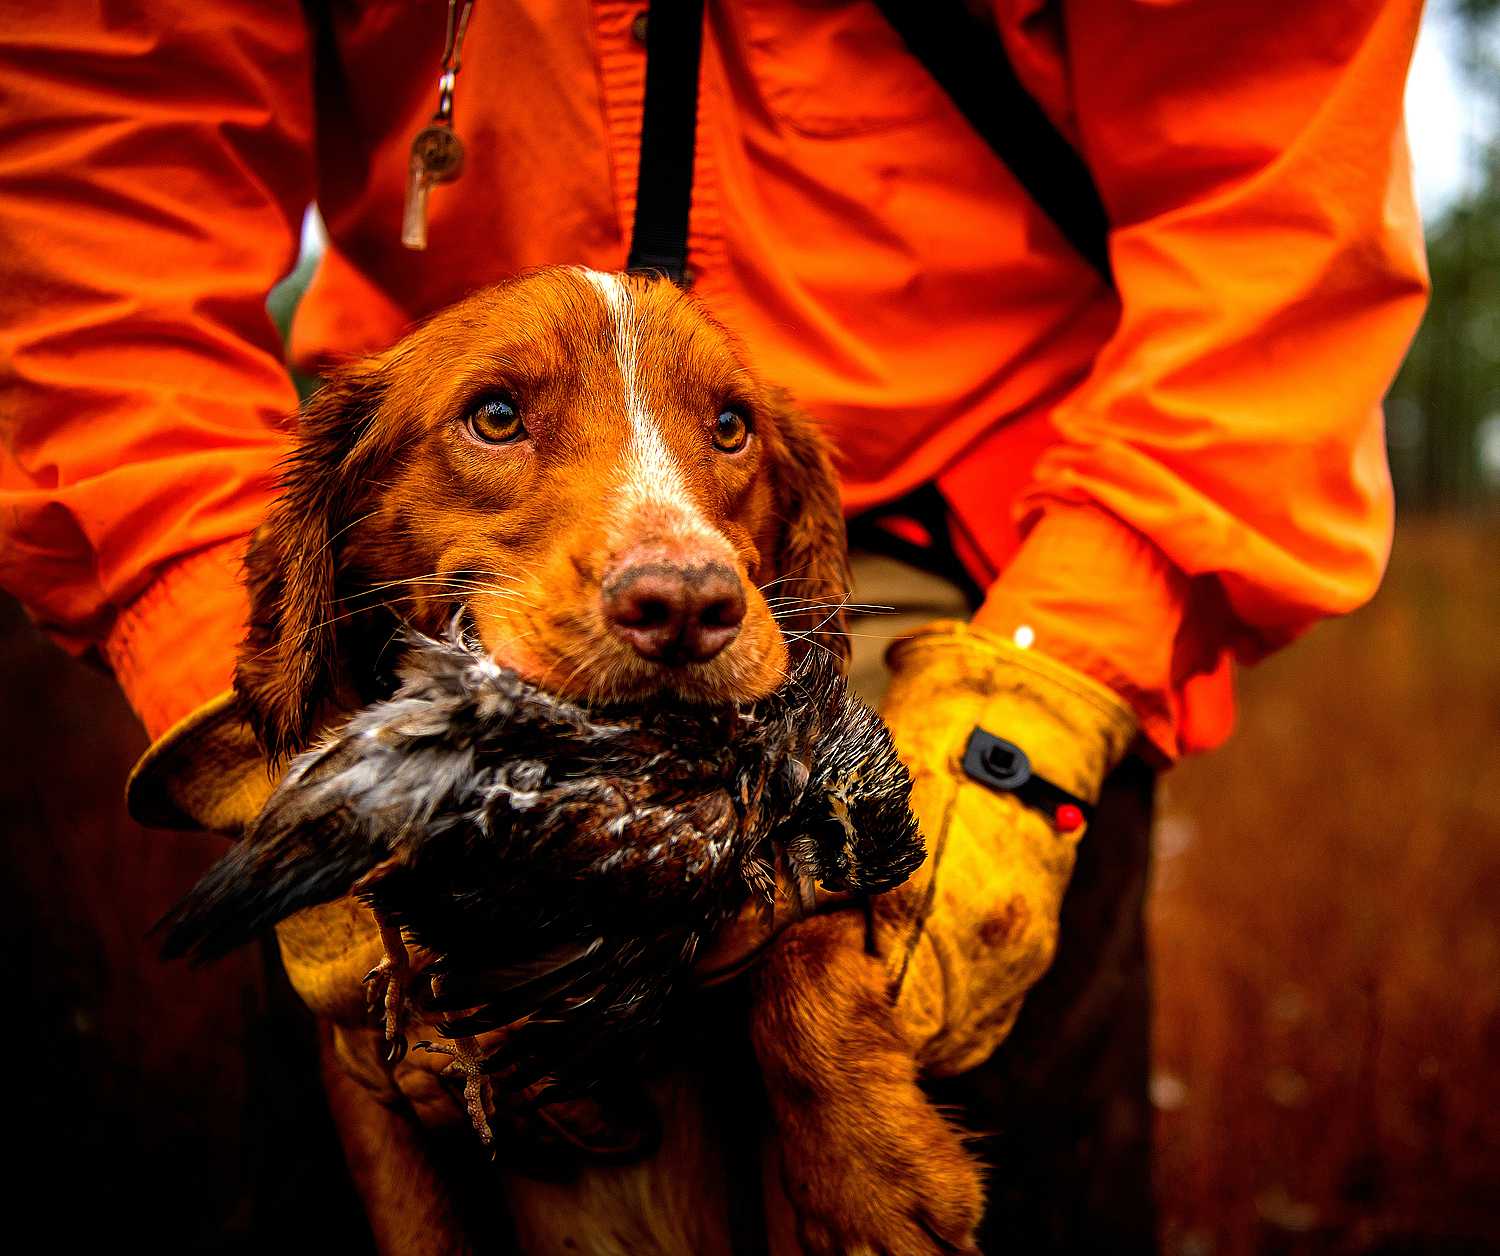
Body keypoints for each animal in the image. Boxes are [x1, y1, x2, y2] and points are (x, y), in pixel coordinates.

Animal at [229, 267, 983, 1254]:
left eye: (731, 427)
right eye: (496, 416)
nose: (687, 604)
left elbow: (802, 923)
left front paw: (875, 1168)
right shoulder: (378, 1107)